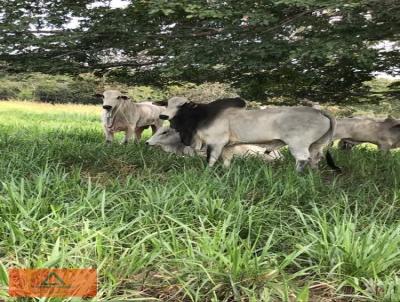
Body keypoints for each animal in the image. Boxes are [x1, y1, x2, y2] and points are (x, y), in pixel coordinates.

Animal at [160, 97, 340, 172]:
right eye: (167, 103)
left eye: (182, 105)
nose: (163, 116)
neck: (201, 116)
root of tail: (320, 111)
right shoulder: (228, 146)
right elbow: (227, 160)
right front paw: (226, 171)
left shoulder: (216, 143)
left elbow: (211, 159)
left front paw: (207, 172)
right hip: (316, 145)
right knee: (315, 158)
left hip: (298, 144)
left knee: (302, 159)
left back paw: (296, 175)